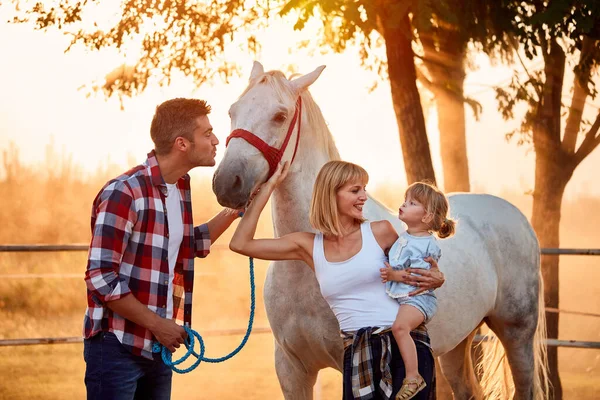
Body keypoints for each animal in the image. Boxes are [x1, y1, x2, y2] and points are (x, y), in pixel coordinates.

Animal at [212, 62, 548, 400]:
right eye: (232, 112)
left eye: (280, 116)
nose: (227, 183)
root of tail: (517, 218)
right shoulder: (291, 370)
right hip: (459, 341)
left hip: (517, 333)